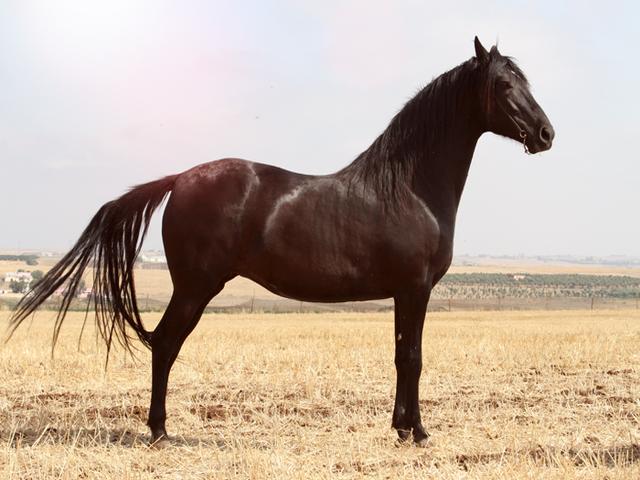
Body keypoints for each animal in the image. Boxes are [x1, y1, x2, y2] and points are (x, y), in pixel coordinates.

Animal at [9, 37, 554, 446]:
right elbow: (412, 359)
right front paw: (416, 433)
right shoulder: (413, 289)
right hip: (195, 288)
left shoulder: (407, 294)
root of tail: (180, 178)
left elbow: (404, 357)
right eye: (504, 84)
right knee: (165, 344)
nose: (547, 134)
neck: (408, 186)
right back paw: (160, 431)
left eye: (526, 81)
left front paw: (402, 429)